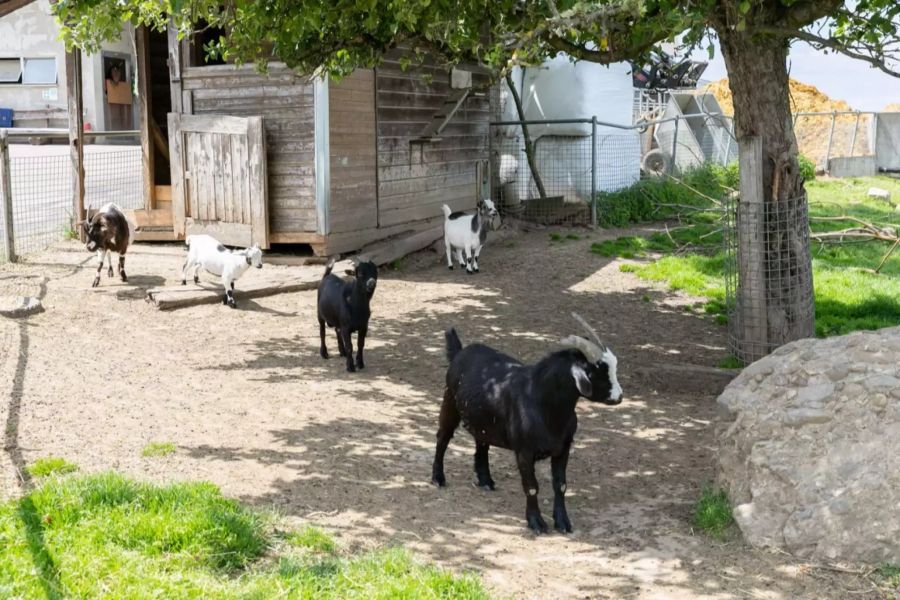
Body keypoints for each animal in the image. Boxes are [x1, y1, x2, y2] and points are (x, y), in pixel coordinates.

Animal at [432, 314, 624, 536]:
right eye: (596, 371)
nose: (619, 396)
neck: (543, 404)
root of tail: (460, 352)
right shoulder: (524, 451)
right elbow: (532, 486)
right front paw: (536, 523)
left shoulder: (563, 448)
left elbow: (561, 485)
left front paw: (563, 522)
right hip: (449, 403)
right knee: (443, 437)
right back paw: (438, 478)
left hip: (484, 418)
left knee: (482, 442)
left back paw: (486, 481)